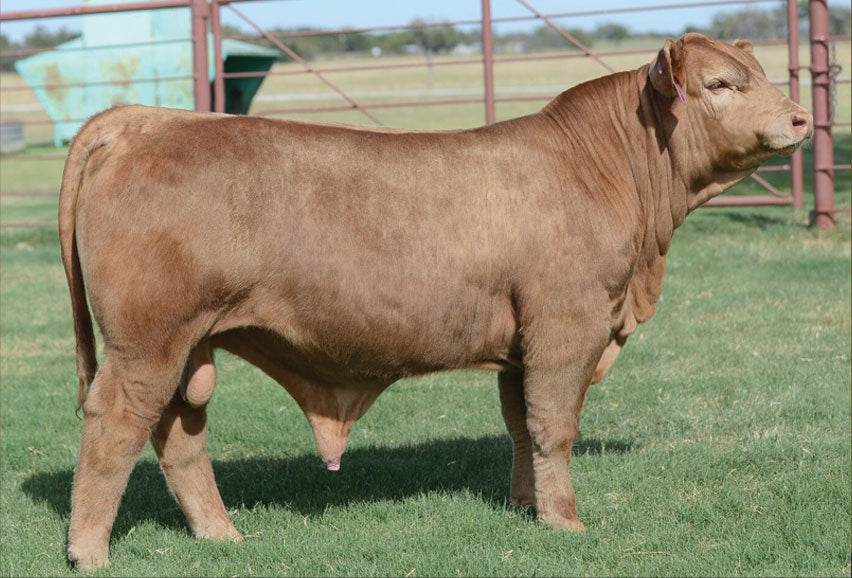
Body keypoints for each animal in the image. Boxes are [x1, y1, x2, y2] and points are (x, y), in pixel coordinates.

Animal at [58, 34, 812, 569]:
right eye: (719, 84)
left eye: (762, 73)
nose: (802, 118)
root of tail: (144, 120)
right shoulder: (568, 326)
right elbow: (554, 426)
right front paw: (565, 522)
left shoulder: (521, 344)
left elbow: (520, 425)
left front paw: (525, 506)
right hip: (145, 341)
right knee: (114, 424)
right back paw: (88, 552)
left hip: (189, 345)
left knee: (179, 434)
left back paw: (221, 536)